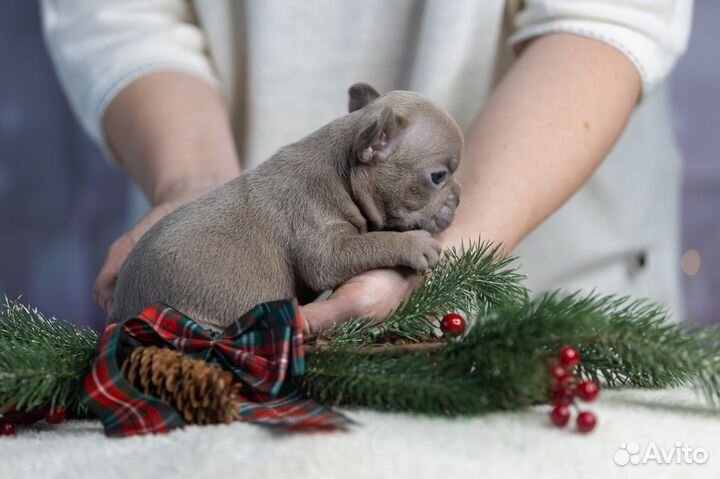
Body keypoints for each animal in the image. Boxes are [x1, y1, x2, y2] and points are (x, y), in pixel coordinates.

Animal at [110, 83, 464, 330]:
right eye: (438, 177)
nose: (458, 194)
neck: (343, 173)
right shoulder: (324, 247)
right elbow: (370, 243)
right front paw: (412, 244)